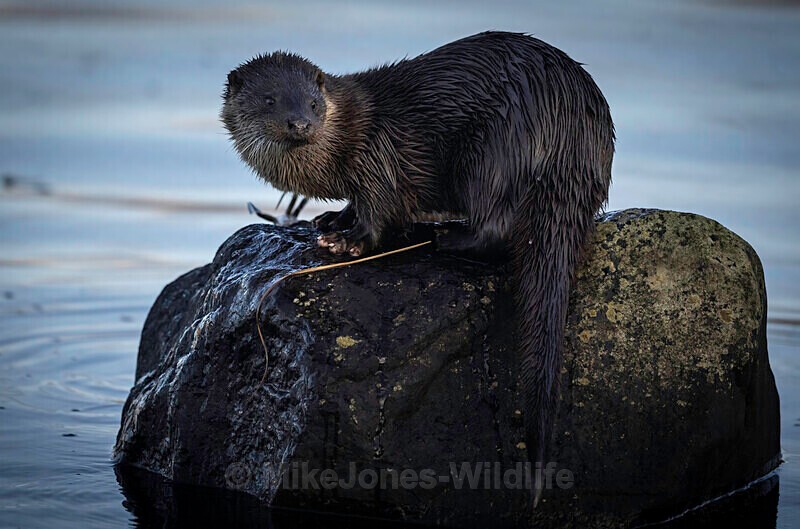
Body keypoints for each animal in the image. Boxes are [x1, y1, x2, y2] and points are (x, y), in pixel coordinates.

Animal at [222, 31, 614, 506]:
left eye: (314, 103)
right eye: (270, 100)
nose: (300, 123)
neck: (342, 144)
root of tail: (575, 134)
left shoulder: (378, 155)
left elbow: (379, 209)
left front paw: (348, 241)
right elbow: (358, 205)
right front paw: (331, 220)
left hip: (494, 147)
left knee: (498, 225)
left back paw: (445, 236)